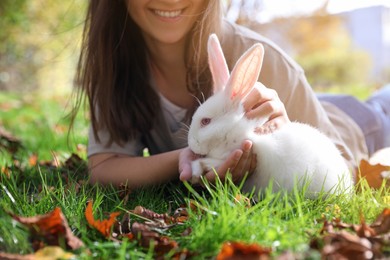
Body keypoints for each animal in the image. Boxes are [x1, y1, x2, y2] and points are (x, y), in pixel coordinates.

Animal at [187, 33, 354, 198]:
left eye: (206, 121)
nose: (192, 145)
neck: (233, 130)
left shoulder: (229, 155)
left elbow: (210, 162)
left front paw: (195, 171)